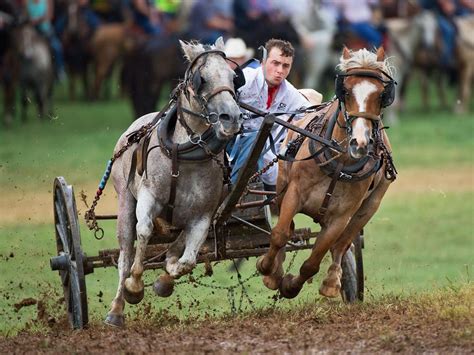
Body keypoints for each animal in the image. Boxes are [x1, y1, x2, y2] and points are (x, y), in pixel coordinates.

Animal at [105, 38, 243, 328]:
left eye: (233, 77)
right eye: (201, 79)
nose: (232, 117)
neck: (187, 153)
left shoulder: (204, 215)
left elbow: (188, 260)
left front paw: (165, 277)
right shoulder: (148, 198)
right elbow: (144, 231)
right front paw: (135, 286)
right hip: (125, 201)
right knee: (125, 254)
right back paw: (117, 308)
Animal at [256, 47, 396, 300]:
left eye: (382, 95)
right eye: (345, 91)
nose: (360, 143)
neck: (339, 163)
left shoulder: (340, 216)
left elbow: (315, 260)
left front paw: (291, 285)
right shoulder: (294, 193)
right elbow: (280, 234)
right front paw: (269, 270)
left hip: (369, 207)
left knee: (342, 244)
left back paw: (333, 280)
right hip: (281, 187)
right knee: (288, 229)